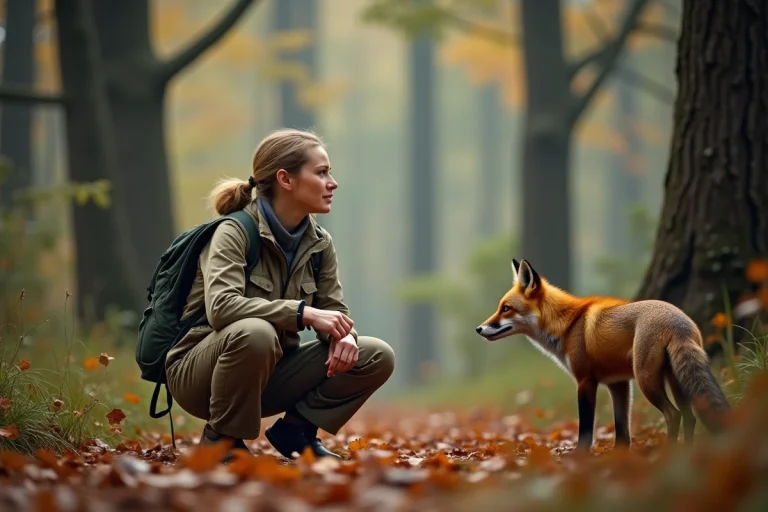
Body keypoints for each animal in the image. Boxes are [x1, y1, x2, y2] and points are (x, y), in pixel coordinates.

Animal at [476, 258, 731, 452]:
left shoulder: (585, 381)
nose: (479, 328)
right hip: (675, 380)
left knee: (674, 415)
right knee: (690, 416)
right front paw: (618, 456)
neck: (567, 325)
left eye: (506, 308)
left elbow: (586, 429)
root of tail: (678, 320)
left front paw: (581, 457)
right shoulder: (618, 384)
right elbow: (622, 431)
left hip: (647, 379)